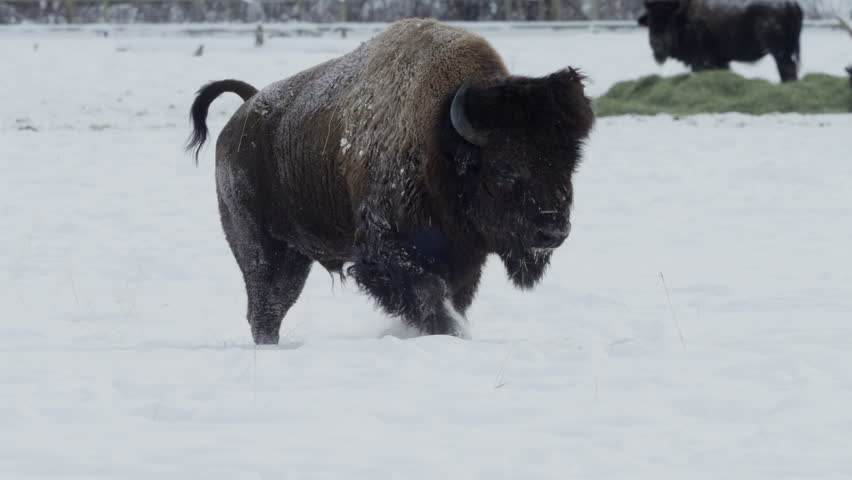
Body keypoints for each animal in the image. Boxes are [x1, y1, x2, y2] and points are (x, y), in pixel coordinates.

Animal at [187, 19, 594, 344]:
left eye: (571, 163)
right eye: (504, 167)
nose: (553, 232)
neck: (439, 138)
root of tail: (245, 111)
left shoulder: (464, 262)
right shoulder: (389, 255)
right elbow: (430, 300)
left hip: (295, 255)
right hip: (260, 248)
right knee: (265, 307)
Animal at [638, 0, 803, 82]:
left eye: (670, 19)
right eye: (650, 20)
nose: (657, 43)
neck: (684, 16)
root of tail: (790, 4)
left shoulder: (701, 61)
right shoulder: (720, 60)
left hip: (779, 53)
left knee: (787, 69)